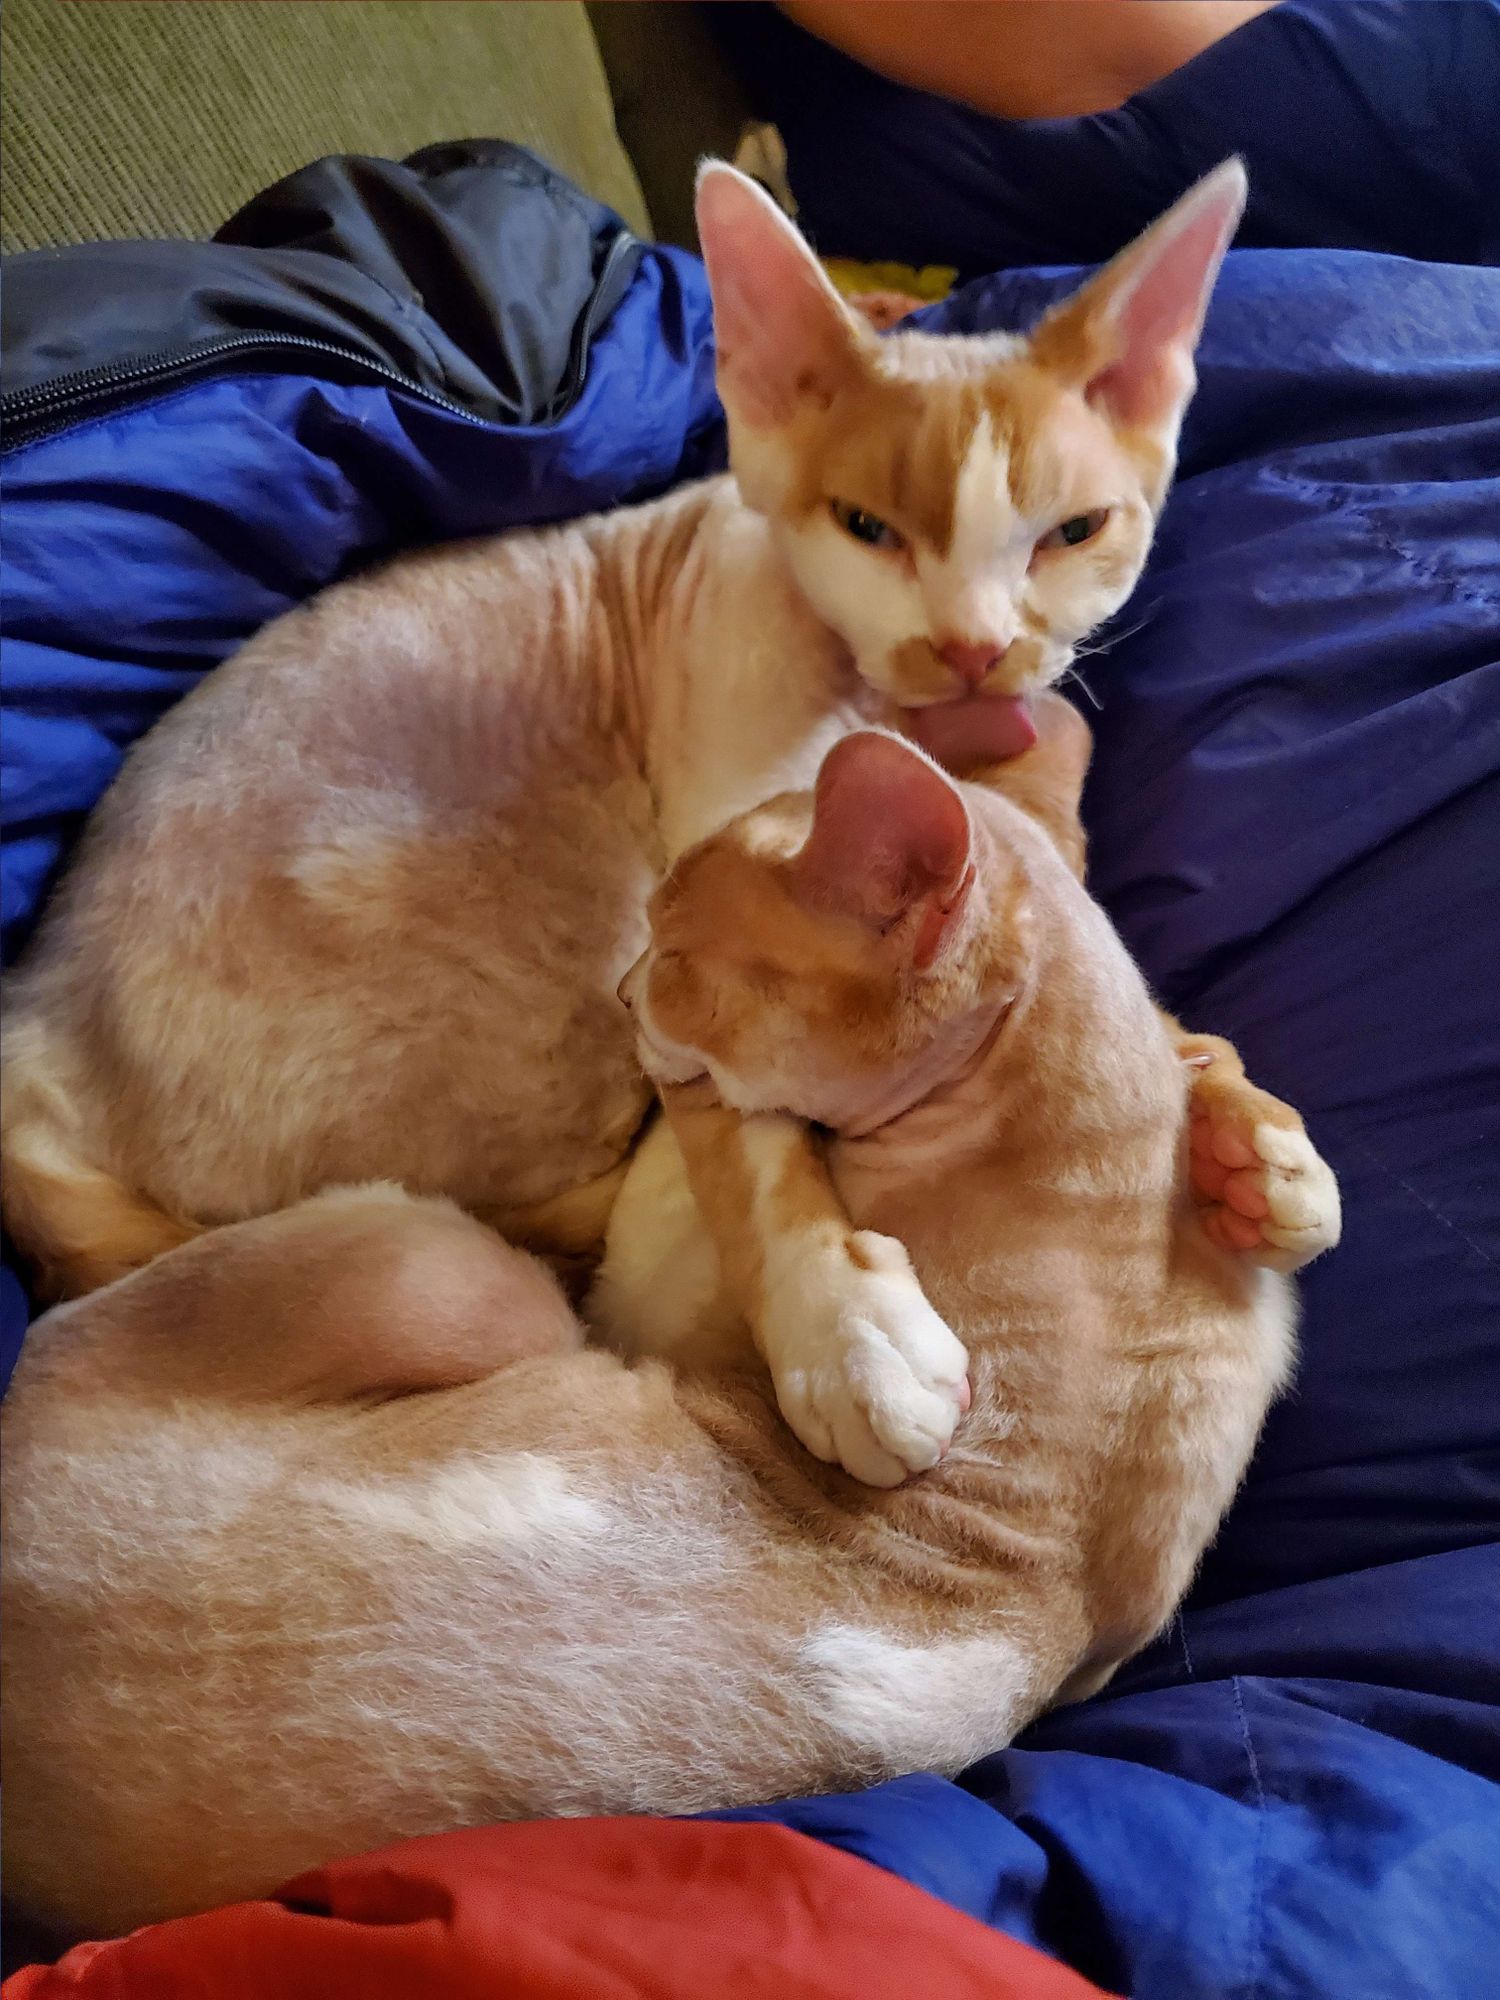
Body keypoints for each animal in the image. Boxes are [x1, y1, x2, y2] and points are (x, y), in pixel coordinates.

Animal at [0, 704, 1320, 1936]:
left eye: (677, 949)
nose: (627, 987)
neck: (1091, 1172)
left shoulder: (694, 1150)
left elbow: (752, 1150)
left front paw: (860, 1347)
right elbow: (1188, 1047)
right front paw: (1266, 1166)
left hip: (441, 1271)